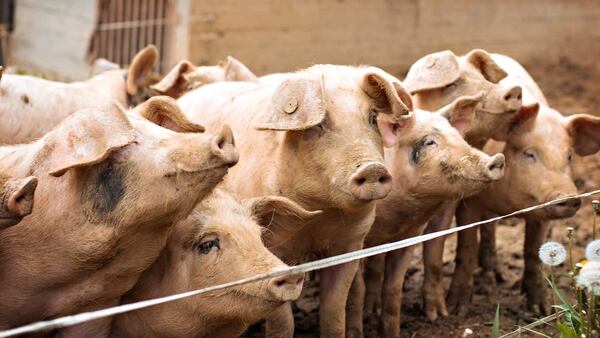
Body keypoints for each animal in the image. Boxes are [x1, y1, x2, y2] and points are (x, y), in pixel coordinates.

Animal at [177, 64, 412, 338]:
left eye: (373, 118)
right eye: (319, 125)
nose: (372, 168)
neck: (321, 215)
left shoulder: (350, 245)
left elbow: (334, 314)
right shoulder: (273, 249)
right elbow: (282, 322)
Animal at [346, 93, 506, 338]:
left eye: (459, 138)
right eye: (429, 142)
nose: (497, 159)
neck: (393, 221)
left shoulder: (409, 236)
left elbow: (393, 288)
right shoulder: (353, 240)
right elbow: (356, 290)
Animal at [400, 48, 524, 320]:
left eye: (484, 78)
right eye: (452, 84)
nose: (513, 90)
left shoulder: (451, 205)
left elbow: (436, 252)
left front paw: (440, 315)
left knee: (488, 229)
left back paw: (492, 280)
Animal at [446, 52, 600, 314]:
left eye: (569, 155)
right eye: (530, 153)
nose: (568, 197)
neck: (511, 206)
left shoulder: (543, 212)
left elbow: (533, 253)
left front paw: (541, 310)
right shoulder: (469, 202)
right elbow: (466, 248)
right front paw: (456, 309)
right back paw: (488, 281)